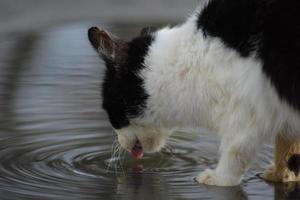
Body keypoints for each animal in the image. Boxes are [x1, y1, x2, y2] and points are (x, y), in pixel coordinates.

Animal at [88, 0, 300, 187]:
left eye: (108, 108)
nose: (121, 144)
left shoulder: (245, 111)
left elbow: (237, 150)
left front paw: (218, 179)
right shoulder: (280, 107)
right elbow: (287, 144)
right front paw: (280, 175)